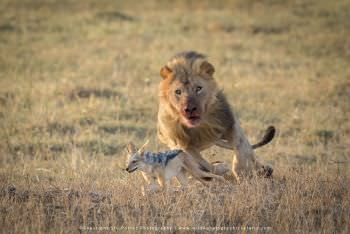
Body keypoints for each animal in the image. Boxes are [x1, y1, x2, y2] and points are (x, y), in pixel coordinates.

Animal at [157, 51, 274, 183]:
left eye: (198, 88)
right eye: (178, 91)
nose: (190, 109)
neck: (200, 126)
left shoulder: (229, 123)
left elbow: (241, 148)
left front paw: (242, 172)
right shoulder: (183, 144)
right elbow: (202, 162)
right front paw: (220, 168)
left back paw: (264, 170)